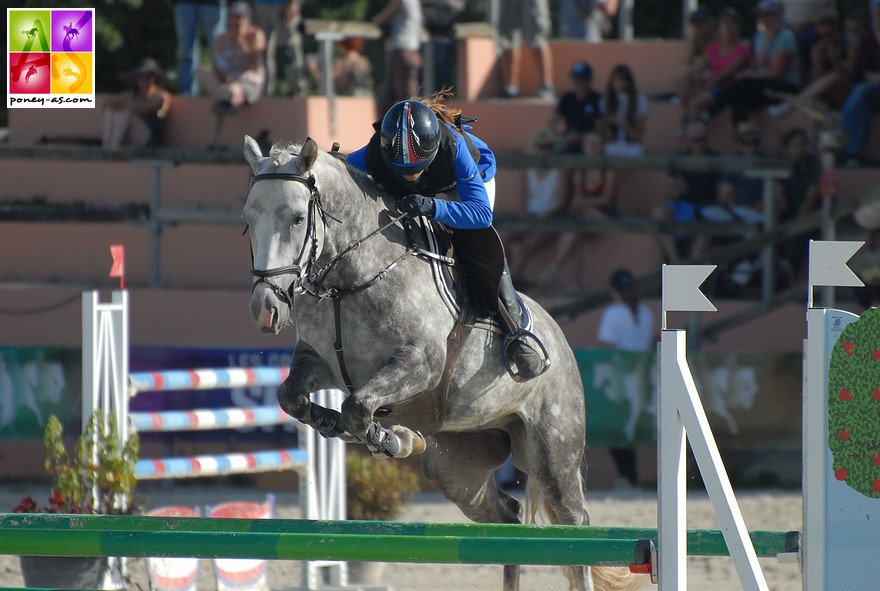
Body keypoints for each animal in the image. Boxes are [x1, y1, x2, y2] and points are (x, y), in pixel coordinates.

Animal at [244, 134, 644, 591]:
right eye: (247, 218)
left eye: (296, 218)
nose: (266, 310)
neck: (350, 281)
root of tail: (561, 342)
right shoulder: (318, 361)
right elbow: (291, 397)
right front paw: (335, 424)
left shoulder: (420, 364)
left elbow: (358, 408)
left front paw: (393, 439)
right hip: (456, 466)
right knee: (507, 518)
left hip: (553, 454)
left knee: (575, 530)